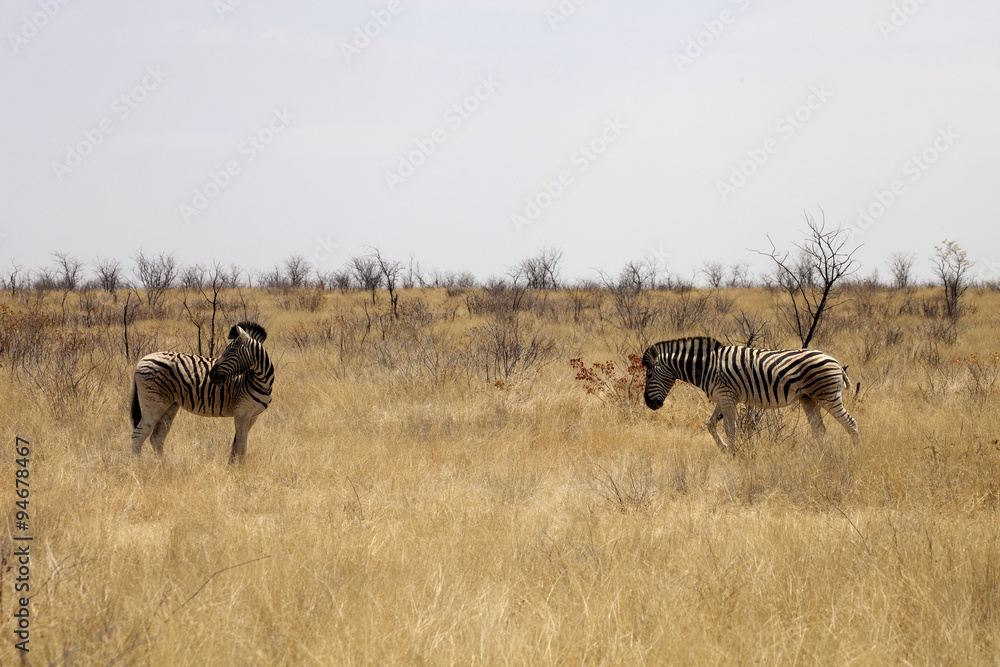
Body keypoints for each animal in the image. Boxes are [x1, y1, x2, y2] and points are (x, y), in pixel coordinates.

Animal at [130, 322, 274, 464]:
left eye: (232, 350)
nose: (212, 375)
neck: (262, 381)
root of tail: (142, 359)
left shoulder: (252, 416)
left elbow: (235, 445)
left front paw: (231, 466)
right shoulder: (242, 412)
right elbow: (241, 446)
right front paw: (240, 468)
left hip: (170, 405)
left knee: (157, 437)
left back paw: (163, 465)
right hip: (153, 404)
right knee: (138, 436)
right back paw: (137, 466)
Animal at [642, 337, 860, 454]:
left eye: (649, 375)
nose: (649, 404)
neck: (706, 367)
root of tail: (836, 362)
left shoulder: (726, 397)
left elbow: (730, 429)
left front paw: (734, 454)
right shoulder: (724, 397)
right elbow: (711, 424)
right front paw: (725, 449)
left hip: (828, 395)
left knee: (850, 423)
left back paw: (856, 454)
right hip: (809, 398)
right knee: (819, 429)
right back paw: (817, 455)